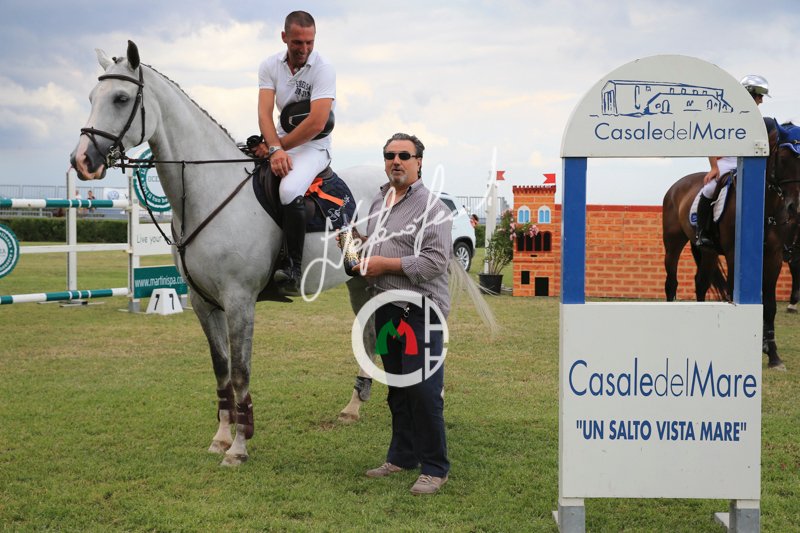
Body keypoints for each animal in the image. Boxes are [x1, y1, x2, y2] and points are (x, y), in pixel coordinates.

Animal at [70, 41, 495, 466]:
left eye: (121, 98)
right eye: (91, 97)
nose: (81, 161)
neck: (209, 188)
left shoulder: (239, 300)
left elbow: (241, 372)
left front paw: (239, 448)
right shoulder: (203, 302)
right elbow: (221, 369)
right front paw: (221, 437)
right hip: (361, 280)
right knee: (370, 331)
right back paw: (353, 406)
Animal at [662, 118, 800, 371]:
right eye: (784, 158)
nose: (794, 207)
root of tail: (677, 185)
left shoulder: (774, 257)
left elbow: (770, 305)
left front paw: (773, 355)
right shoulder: (735, 255)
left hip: (706, 251)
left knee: (700, 282)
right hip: (673, 243)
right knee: (671, 282)